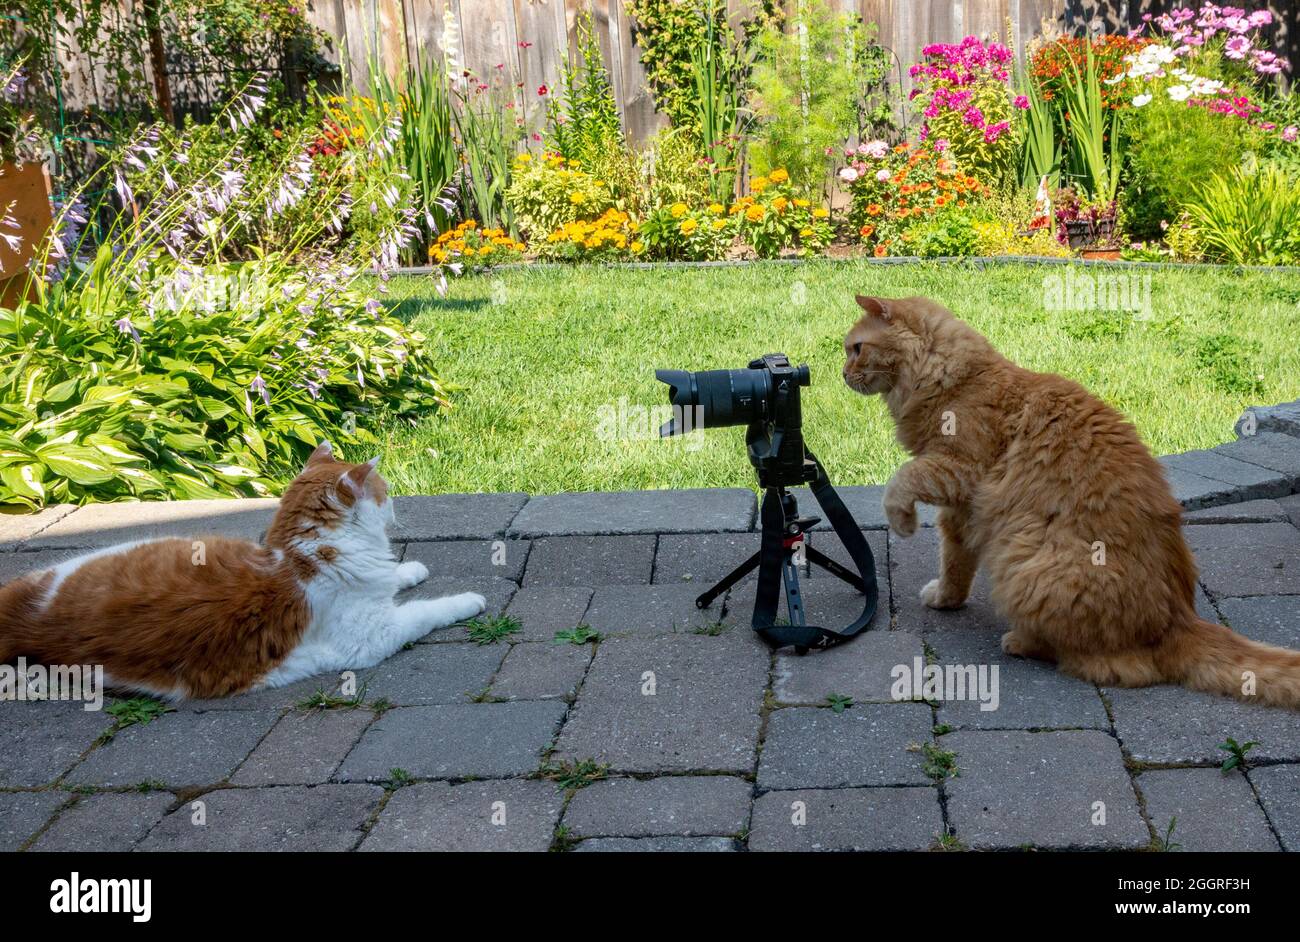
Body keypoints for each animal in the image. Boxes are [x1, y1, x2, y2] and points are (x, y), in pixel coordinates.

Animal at [0, 441, 486, 696]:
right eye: (385, 493)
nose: (397, 507)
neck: (303, 555)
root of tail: (27, 619)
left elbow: (394, 577)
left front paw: (410, 570)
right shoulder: (373, 636)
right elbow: (427, 611)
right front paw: (469, 600)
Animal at [842, 293, 1300, 706]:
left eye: (857, 348)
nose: (843, 373)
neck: (954, 379)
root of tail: (1179, 618)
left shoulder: (957, 470)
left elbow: (899, 481)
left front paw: (902, 522)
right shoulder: (961, 511)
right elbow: (955, 563)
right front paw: (947, 600)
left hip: (1024, 564)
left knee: (1095, 660)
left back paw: (1019, 640)